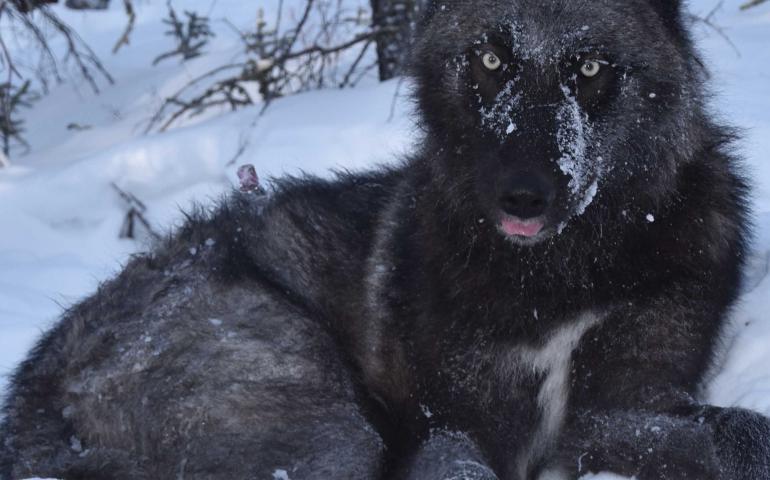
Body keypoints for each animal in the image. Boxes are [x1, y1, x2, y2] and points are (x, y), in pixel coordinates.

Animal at [1, 0, 768, 478]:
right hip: (319, 411)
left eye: (588, 68)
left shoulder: (621, 407)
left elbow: (734, 432)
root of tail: (27, 408)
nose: (523, 195)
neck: (557, 273)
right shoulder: (455, 422)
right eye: (491, 61)